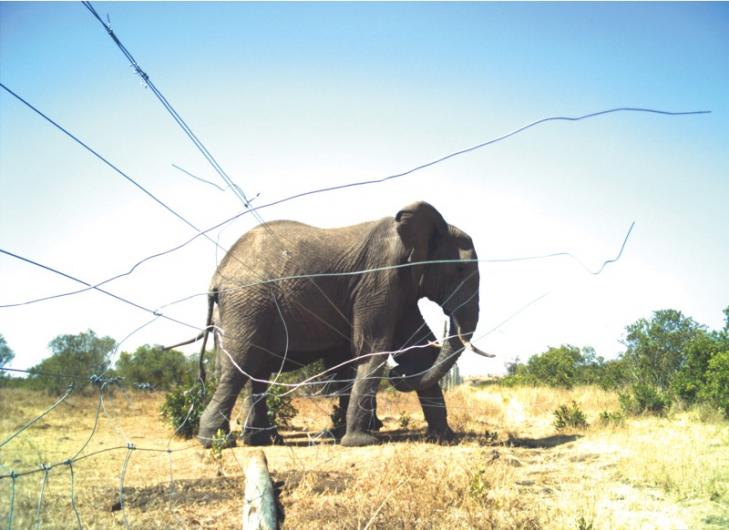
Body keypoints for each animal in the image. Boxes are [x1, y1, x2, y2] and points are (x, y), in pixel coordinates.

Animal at [191, 199, 492, 446]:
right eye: (460, 269)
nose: (397, 375)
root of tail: (216, 276)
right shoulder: (379, 279)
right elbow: (371, 348)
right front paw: (361, 442)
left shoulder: (402, 288)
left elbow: (419, 355)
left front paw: (446, 438)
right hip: (248, 303)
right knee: (239, 366)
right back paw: (216, 442)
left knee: (254, 371)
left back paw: (261, 441)